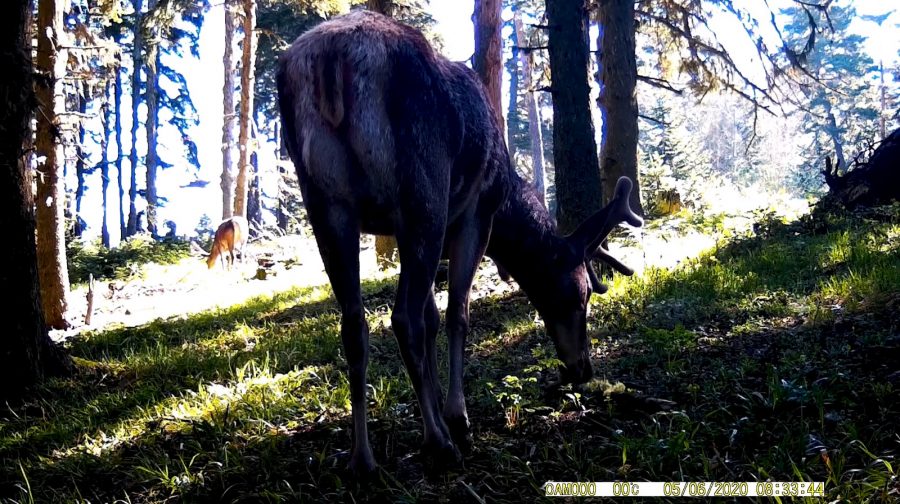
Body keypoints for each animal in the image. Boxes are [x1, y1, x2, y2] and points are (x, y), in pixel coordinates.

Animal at [274, 10, 640, 476]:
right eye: (579, 295)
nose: (583, 368)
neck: (506, 202)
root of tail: (330, 58)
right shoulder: (473, 218)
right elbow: (455, 316)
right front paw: (456, 417)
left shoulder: (406, 232)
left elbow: (432, 318)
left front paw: (430, 405)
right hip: (423, 190)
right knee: (402, 318)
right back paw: (439, 441)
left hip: (326, 204)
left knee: (355, 322)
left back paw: (362, 457)